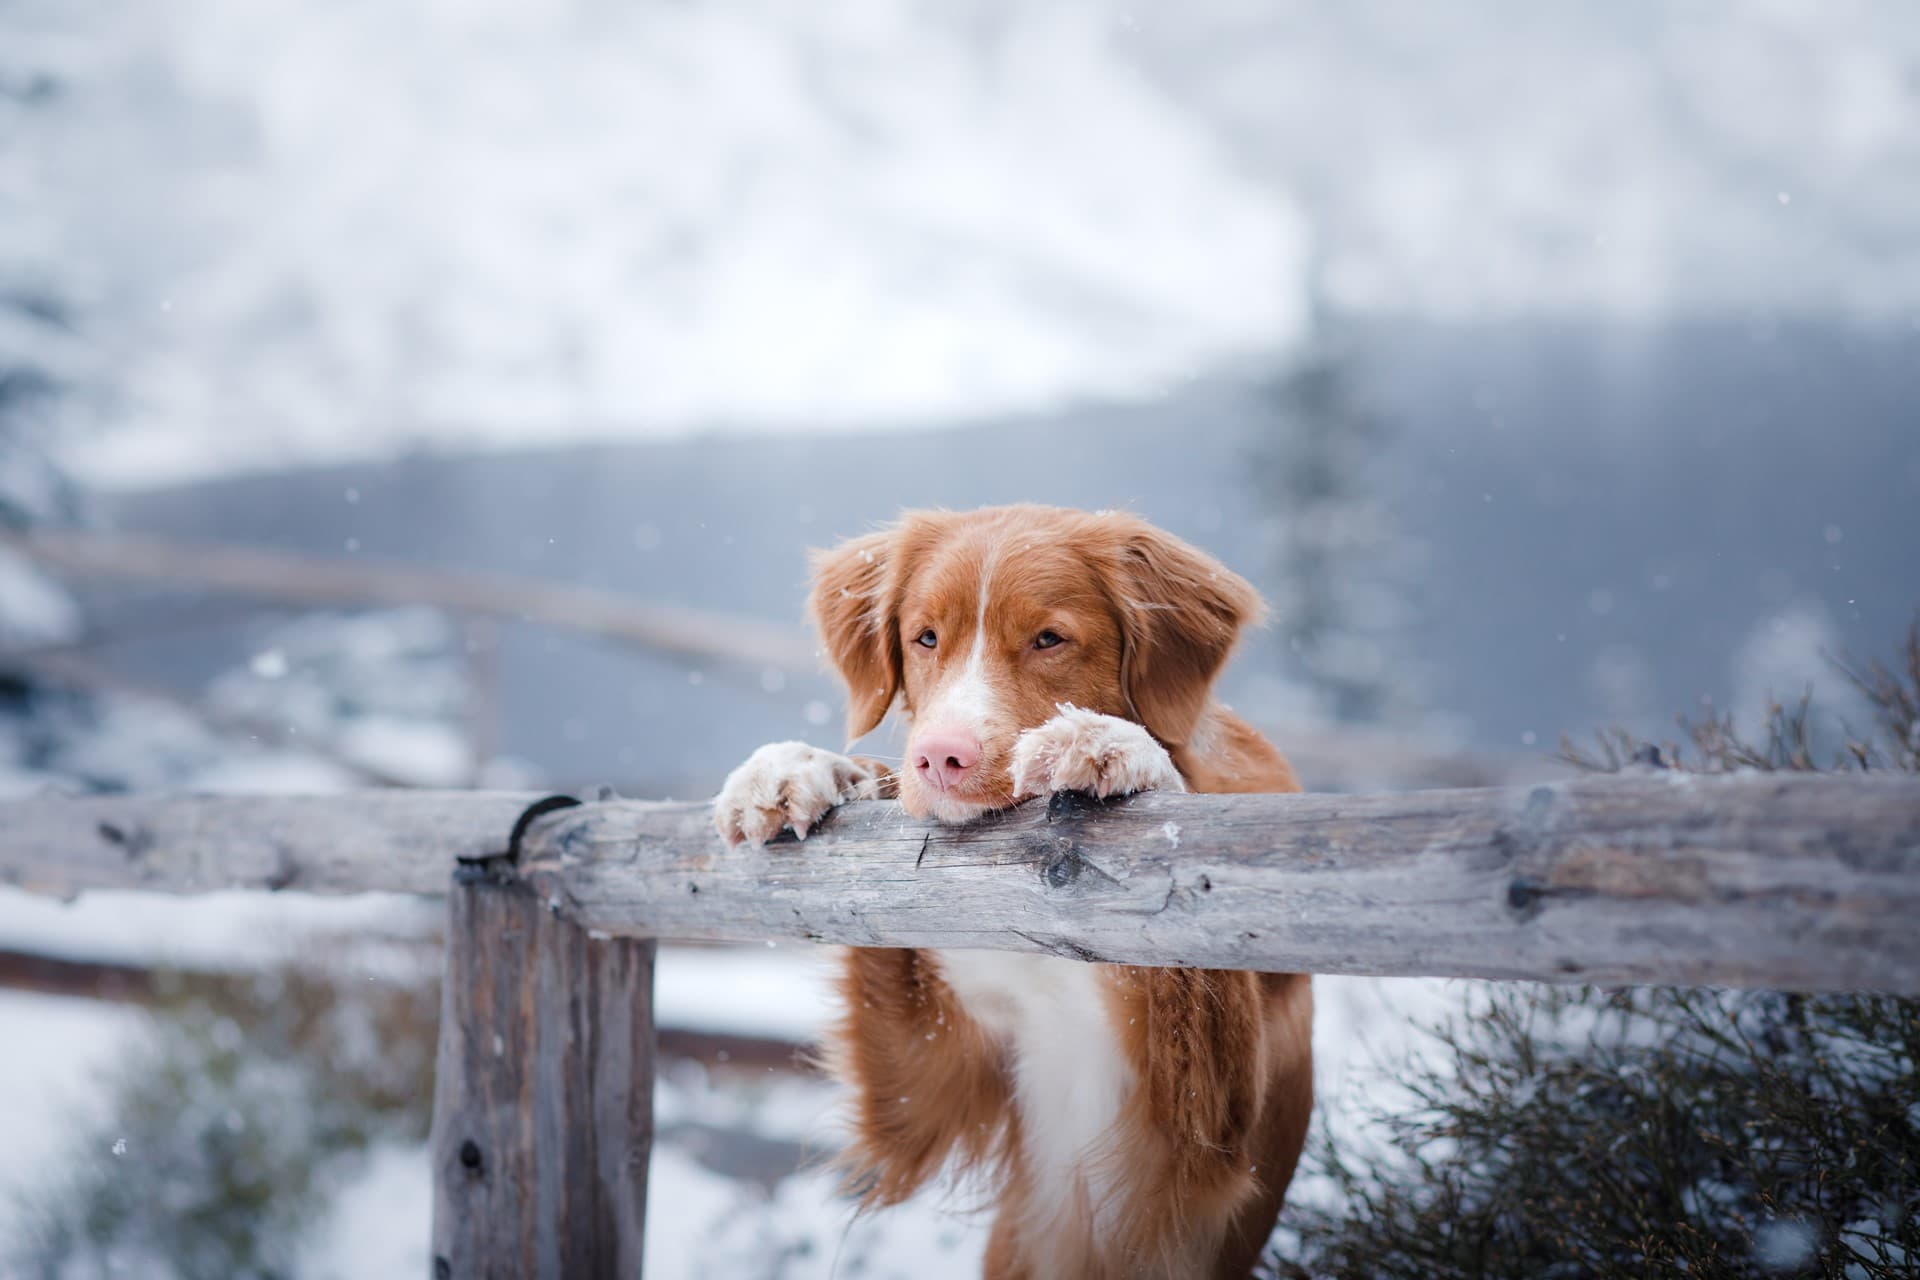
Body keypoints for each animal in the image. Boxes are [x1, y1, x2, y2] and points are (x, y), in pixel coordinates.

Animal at [714, 506, 1313, 1280]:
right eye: (925, 637)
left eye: (1049, 639)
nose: (939, 758)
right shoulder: (929, 1078)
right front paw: (797, 767)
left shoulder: (1194, 1144)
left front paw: (1116, 746)